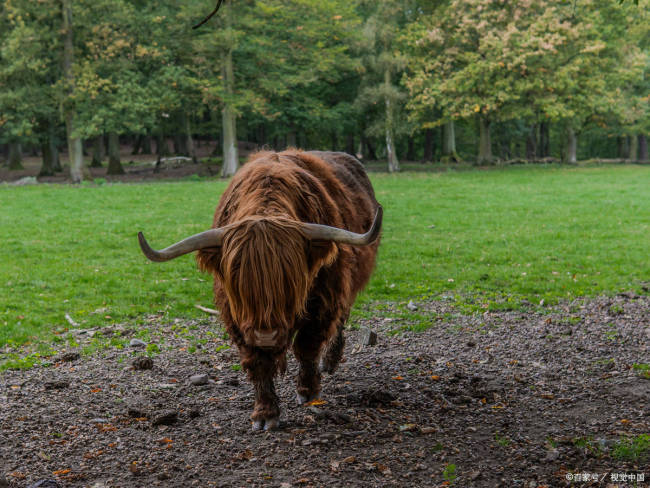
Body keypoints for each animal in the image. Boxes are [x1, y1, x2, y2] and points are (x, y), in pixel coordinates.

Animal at [138, 150, 380, 430]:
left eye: (289, 280)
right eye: (239, 282)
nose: (267, 336)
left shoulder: (325, 296)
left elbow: (307, 345)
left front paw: (307, 391)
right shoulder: (237, 316)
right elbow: (257, 362)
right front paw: (265, 413)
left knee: (341, 317)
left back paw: (329, 361)